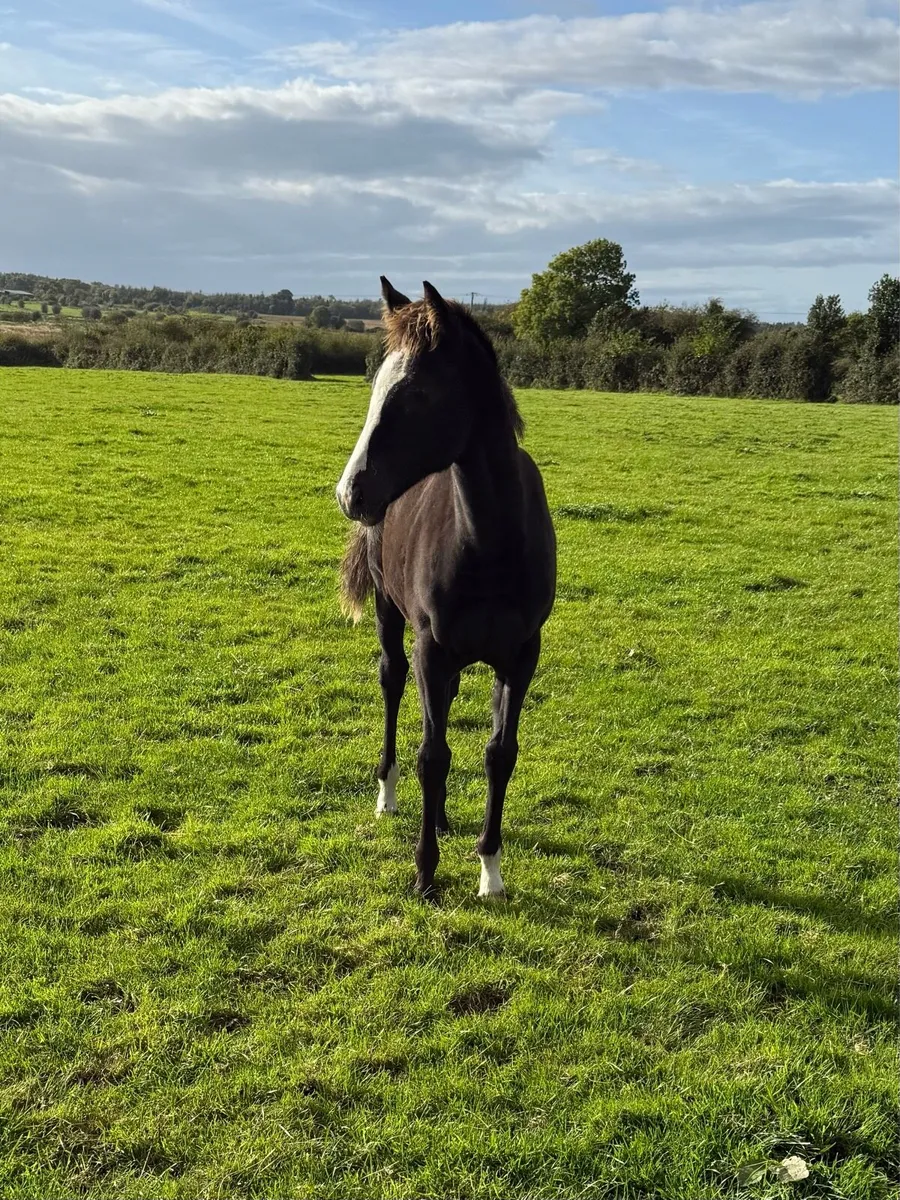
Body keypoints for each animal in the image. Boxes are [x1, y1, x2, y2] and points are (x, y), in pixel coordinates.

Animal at [336, 278, 556, 898]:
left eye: (418, 396)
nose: (350, 492)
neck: (491, 543)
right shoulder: (429, 648)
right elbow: (432, 756)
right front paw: (425, 875)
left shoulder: (521, 655)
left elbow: (499, 754)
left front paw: (491, 872)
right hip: (392, 619)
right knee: (391, 684)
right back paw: (388, 797)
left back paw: (441, 818)